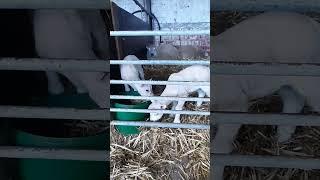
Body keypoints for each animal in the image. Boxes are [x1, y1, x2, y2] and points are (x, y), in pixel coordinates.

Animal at [212, 11, 320, 179]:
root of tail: (312, 23)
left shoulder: (234, 103)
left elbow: (219, 147)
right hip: (280, 79)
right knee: (294, 99)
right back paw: (282, 136)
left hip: (309, 76)